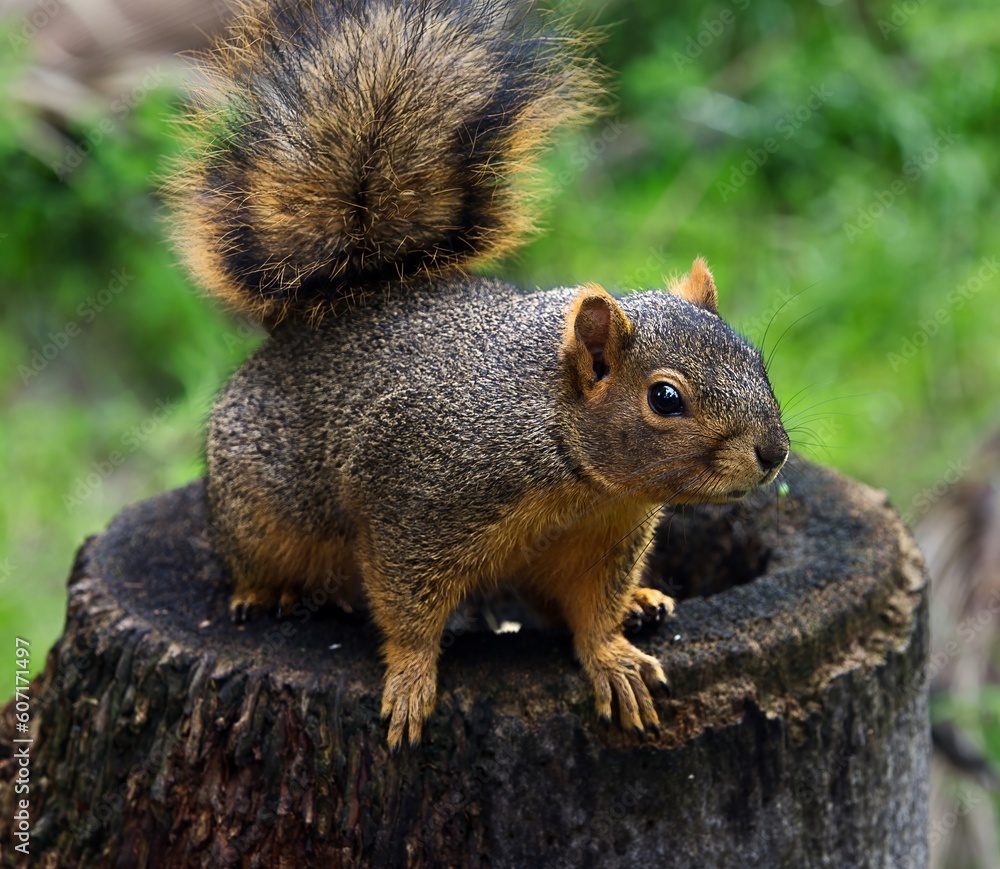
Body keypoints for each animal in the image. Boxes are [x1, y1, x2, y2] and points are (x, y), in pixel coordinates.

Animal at [170, 0, 790, 748]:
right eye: (666, 398)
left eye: (755, 358)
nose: (774, 452)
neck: (564, 458)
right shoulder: (413, 503)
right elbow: (407, 607)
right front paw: (411, 680)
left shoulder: (599, 538)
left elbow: (592, 610)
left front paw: (612, 654)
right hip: (256, 509)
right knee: (255, 558)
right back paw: (271, 590)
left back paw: (643, 601)